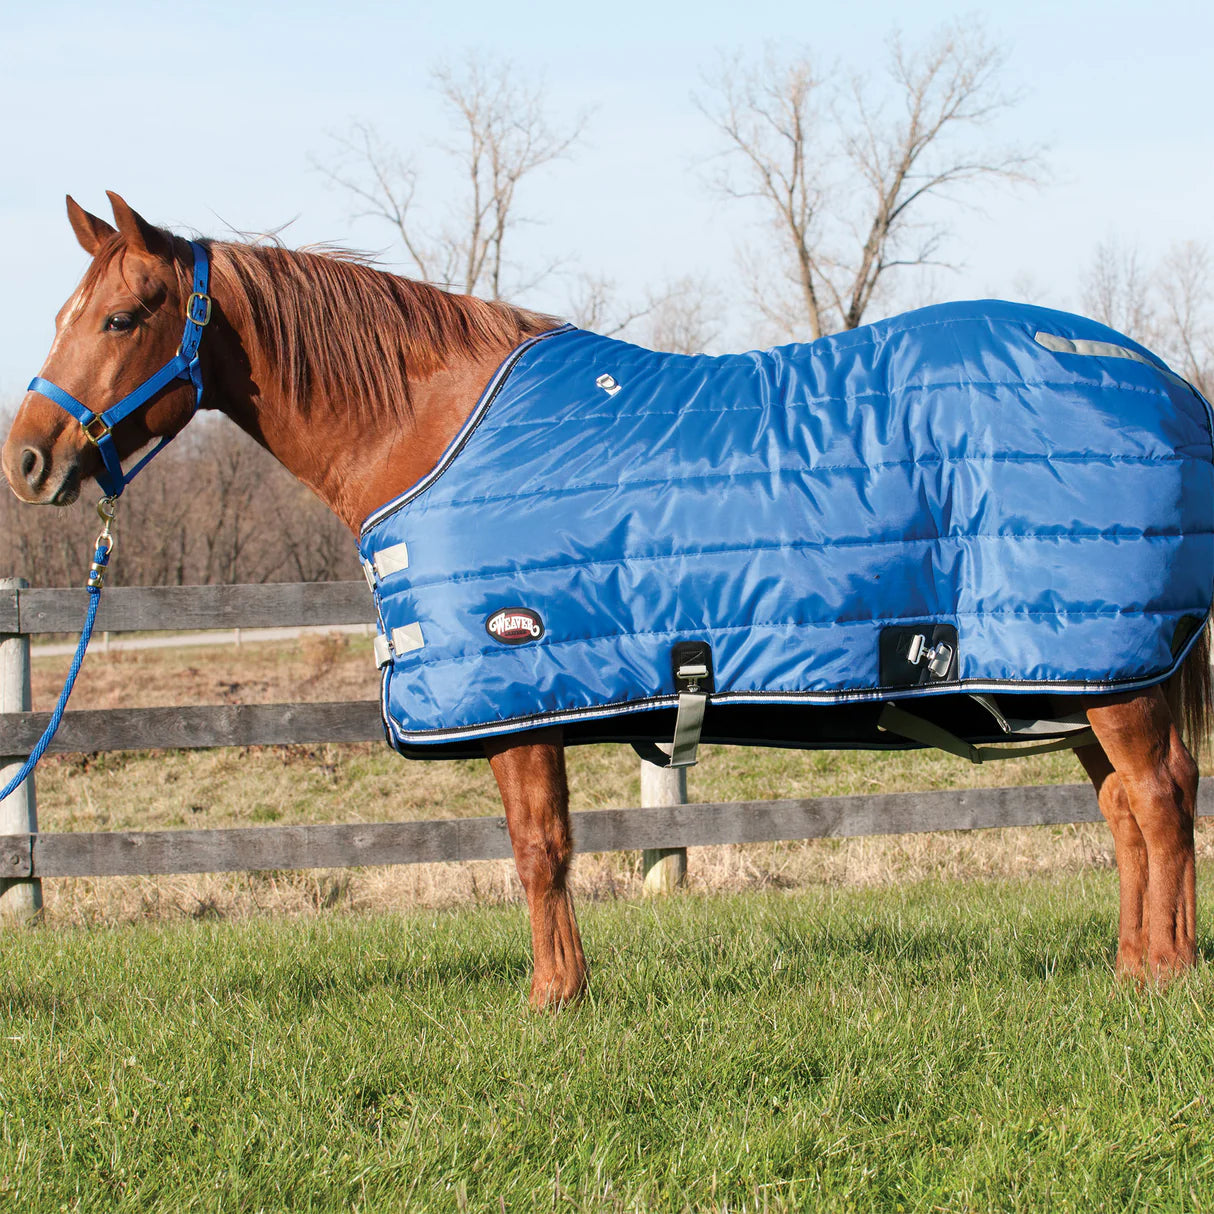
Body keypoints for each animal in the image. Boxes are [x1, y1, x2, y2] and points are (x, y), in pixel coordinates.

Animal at [3, 192, 1210, 1007]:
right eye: (67, 309)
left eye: (122, 318)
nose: (28, 459)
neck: (423, 425)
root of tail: (1166, 383)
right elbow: (542, 849)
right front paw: (562, 992)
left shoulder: (517, 688)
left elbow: (539, 849)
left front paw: (554, 999)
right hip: (1072, 672)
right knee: (1123, 807)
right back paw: (1128, 964)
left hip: (1105, 667)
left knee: (1157, 797)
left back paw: (1157, 973)